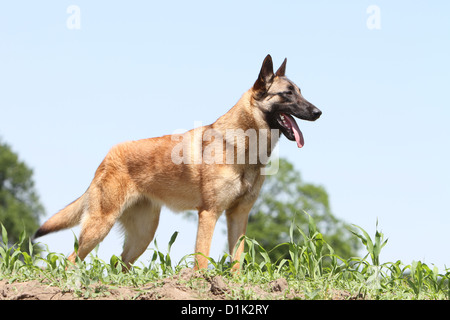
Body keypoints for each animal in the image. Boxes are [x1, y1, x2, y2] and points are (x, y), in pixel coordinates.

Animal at [34, 55, 324, 270]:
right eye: (287, 94)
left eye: (301, 92)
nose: (319, 112)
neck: (242, 146)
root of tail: (108, 156)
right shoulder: (209, 214)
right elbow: (201, 259)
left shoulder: (238, 216)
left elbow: (236, 262)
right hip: (99, 226)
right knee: (71, 260)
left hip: (143, 234)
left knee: (119, 265)